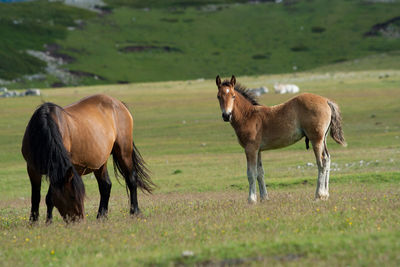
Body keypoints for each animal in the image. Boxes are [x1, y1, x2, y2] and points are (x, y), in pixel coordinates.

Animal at [21, 94, 154, 224]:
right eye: (72, 196)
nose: (79, 220)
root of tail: (119, 104)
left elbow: (49, 197)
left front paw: (48, 222)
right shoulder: (32, 169)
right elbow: (36, 197)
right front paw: (34, 222)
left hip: (124, 152)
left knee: (131, 179)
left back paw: (134, 212)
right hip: (101, 162)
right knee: (106, 185)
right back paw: (101, 216)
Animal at [216, 75, 346, 203]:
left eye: (233, 96)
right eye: (218, 97)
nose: (226, 115)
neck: (248, 116)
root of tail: (326, 100)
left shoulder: (250, 149)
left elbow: (251, 173)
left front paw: (251, 199)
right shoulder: (258, 150)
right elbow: (260, 173)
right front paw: (264, 198)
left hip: (316, 139)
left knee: (321, 163)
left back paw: (319, 195)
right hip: (323, 139)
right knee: (327, 160)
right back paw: (326, 194)